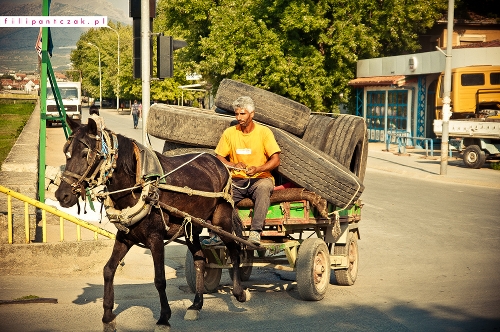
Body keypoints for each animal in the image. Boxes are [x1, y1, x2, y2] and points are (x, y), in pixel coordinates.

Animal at [55, 116, 249, 330]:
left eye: (84, 154)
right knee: (200, 260)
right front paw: (108, 317)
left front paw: (164, 318)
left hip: (221, 221)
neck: (139, 185)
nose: (61, 195)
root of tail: (218, 162)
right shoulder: (125, 236)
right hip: (191, 227)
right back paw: (196, 305)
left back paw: (239, 293)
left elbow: (160, 279)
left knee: (234, 249)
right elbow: (108, 270)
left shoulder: (155, 238)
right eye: (66, 152)